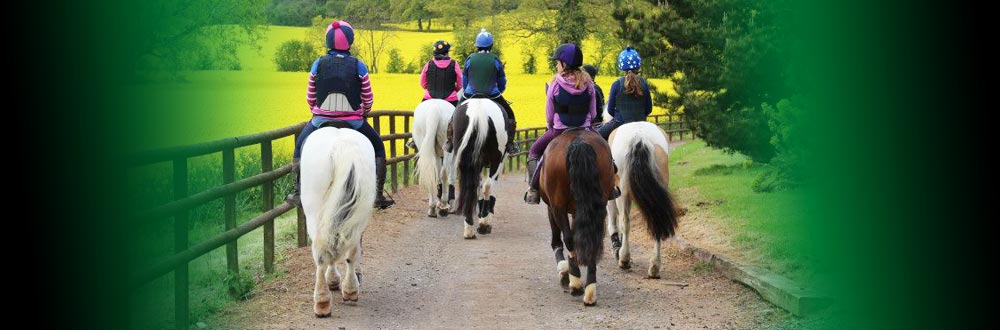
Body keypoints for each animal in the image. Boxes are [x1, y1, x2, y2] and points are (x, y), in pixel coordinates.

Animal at [298, 126, 376, 318]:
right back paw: (349, 290)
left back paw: (324, 301)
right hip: (359, 212)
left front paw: (333, 280)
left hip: (314, 211)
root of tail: (342, 145)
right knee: (351, 250)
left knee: (320, 253)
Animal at [452, 98, 508, 240]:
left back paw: (469, 229)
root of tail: (478, 111)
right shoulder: (500, 161)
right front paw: (486, 220)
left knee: (469, 187)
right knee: (487, 186)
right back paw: (483, 224)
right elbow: (488, 188)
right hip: (496, 159)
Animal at [540, 127, 616, 306]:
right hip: (596, 203)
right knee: (593, 239)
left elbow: (557, 240)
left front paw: (564, 272)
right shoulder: (578, 210)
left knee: (568, 239)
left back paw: (575, 283)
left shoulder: (552, 206)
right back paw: (590, 291)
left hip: (558, 205)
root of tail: (578, 141)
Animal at [604, 121, 684, 278]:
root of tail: (640, 136)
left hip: (622, 193)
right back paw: (654, 267)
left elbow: (613, 219)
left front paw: (617, 249)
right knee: (657, 220)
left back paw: (624, 259)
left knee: (625, 222)